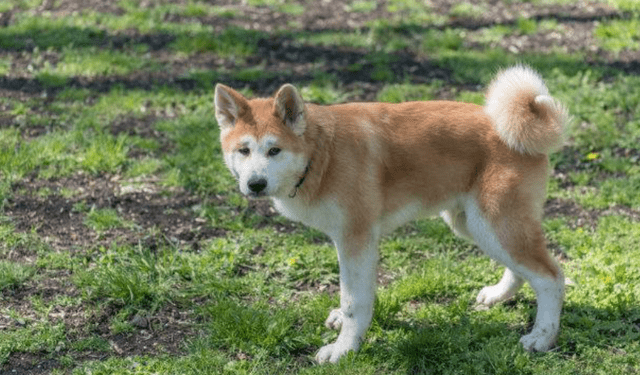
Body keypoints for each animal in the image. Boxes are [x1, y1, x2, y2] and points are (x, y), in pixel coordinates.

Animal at [216, 65, 568, 364]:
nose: (255, 184)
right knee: (522, 270)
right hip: (475, 224)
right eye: (243, 150)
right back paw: (498, 296)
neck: (321, 155)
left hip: (494, 224)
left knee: (550, 276)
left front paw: (343, 349)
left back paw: (541, 337)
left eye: (274, 150)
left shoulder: (356, 239)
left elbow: (354, 301)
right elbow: (352, 295)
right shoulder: (350, 242)